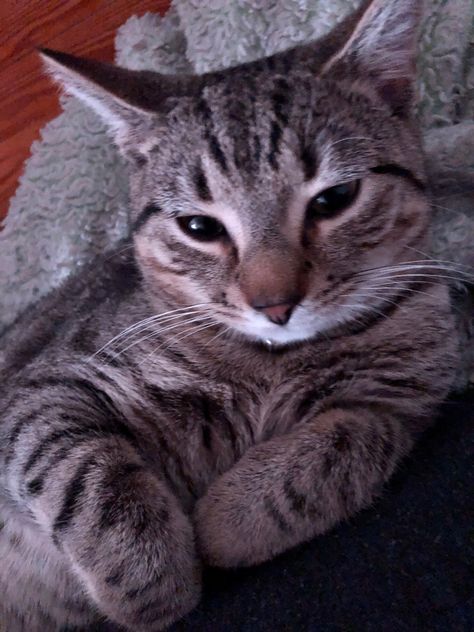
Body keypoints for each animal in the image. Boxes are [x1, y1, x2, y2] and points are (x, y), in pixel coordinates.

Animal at [0, 0, 462, 628]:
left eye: (334, 199)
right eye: (199, 227)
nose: (275, 305)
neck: (272, 363)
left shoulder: (403, 400)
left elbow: (340, 448)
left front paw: (227, 519)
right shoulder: (42, 387)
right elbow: (82, 463)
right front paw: (151, 575)